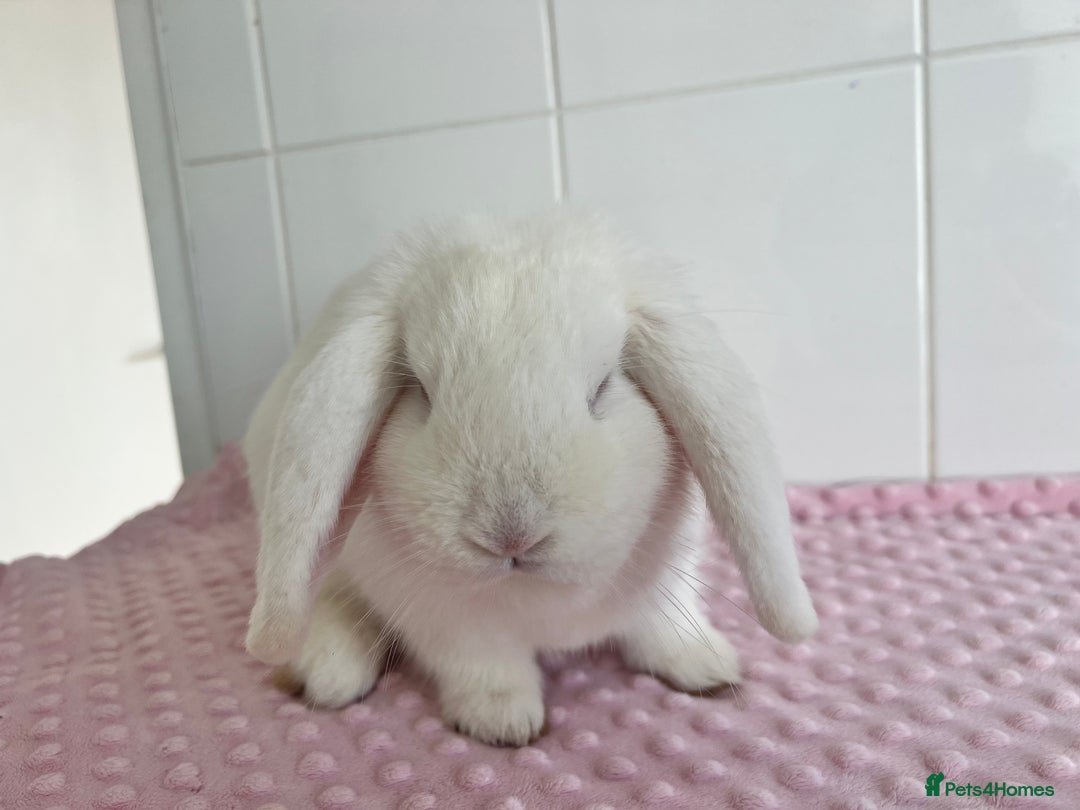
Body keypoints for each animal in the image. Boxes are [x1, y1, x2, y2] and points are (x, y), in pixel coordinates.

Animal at [243, 209, 818, 746]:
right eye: (422, 394)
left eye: (603, 388)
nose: (510, 535)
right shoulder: (441, 616)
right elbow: (483, 663)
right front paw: (502, 721)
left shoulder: (672, 571)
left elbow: (662, 623)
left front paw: (708, 666)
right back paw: (327, 674)